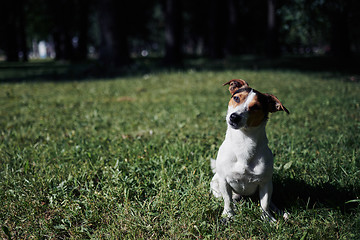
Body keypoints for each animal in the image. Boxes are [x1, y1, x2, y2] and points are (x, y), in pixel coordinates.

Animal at [211, 79, 290, 222]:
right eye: (236, 98)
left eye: (255, 107)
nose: (234, 117)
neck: (243, 142)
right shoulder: (224, 181)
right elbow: (227, 200)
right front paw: (228, 215)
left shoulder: (265, 183)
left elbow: (264, 203)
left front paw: (267, 218)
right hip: (216, 184)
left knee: (270, 202)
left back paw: (281, 212)